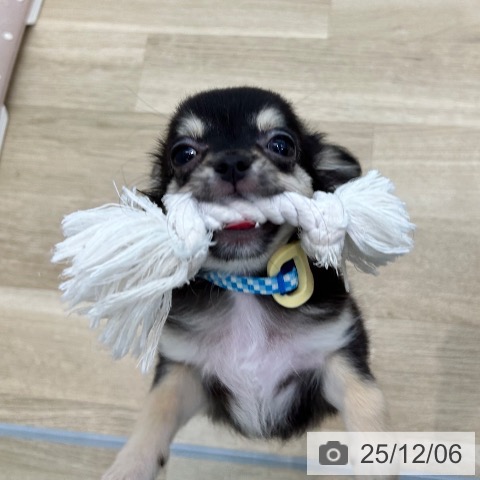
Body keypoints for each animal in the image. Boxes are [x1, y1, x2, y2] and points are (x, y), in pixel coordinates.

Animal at [103, 87, 389, 480]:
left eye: (282, 145)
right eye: (183, 153)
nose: (232, 161)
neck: (246, 286)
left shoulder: (335, 356)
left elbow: (367, 403)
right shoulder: (187, 372)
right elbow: (156, 408)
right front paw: (130, 464)